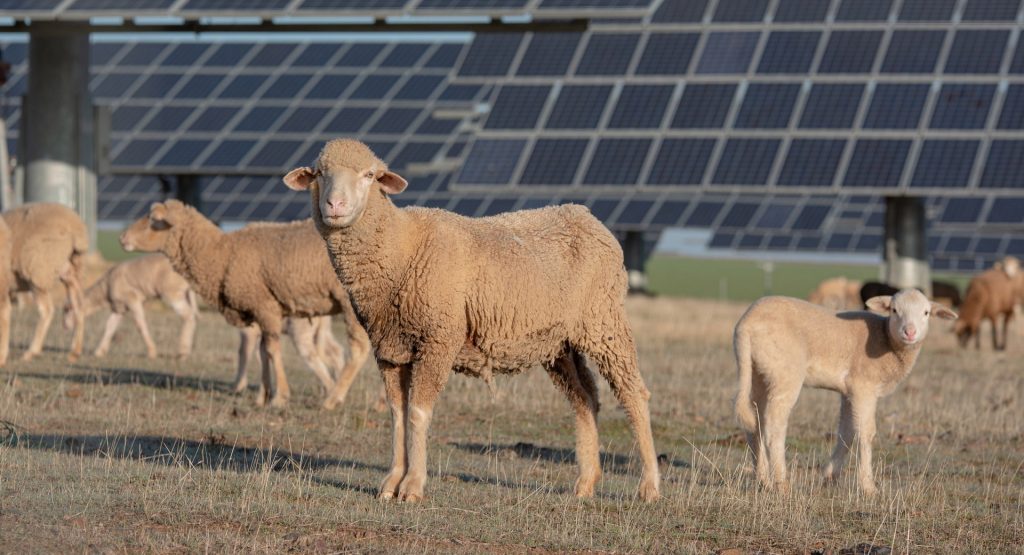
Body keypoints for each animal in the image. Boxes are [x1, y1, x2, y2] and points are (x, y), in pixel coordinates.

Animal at [2, 203, 88, 363]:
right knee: (78, 305)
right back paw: (75, 351)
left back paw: (32, 351)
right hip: (68, 269)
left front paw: (2, 356)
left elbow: (4, 313)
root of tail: (76, 227)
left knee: (47, 310)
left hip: (37, 269)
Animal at [61, 254, 197, 359]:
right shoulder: (119, 309)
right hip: (183, 293)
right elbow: (109, 327)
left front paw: (152, 352)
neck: (105, 289)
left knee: (188, 315)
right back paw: (186, 351)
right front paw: (100, 351)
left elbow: (140, 325)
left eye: (67, 311)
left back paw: (182, 353)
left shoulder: (132, 300)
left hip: (172, 293)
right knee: (191, 316)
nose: (64, 327)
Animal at [119, 206, 371, 409]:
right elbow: (262, 352)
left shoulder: (265, 305)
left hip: (351, 302)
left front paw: (280, 397)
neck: (221, 254)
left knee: (359, 349)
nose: (122, 238)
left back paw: (333, 399)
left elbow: (272, 350)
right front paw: (263, 396)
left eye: (153, 219)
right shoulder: (257, 310)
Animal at [282, 138, 660, 503]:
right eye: (319, 173)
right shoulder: (389, 348)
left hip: (604, 321)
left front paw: (412, 487)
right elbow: (397, 414)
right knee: (585, 399)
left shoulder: (439, 339)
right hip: (558, 343)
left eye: (369, 176)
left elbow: (418, 413)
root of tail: (586, 215)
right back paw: (585, 483)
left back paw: (649, 487)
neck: (401, 247)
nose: (335, 205)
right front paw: (391, 482)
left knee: (633, 394)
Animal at [733, 289, 957, 495]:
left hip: (759, 372)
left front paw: (830, 476)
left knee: (754, 423)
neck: (886, 340)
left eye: (926, 312)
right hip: (785, 372)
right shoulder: (863, 386)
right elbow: (866, 432)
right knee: (774, 425)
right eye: (894, 310)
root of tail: (746, 324)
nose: (909, 332)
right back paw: (781, 484)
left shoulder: (849, 391)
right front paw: (868, 487)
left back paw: (763, 480)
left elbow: (846, 432)